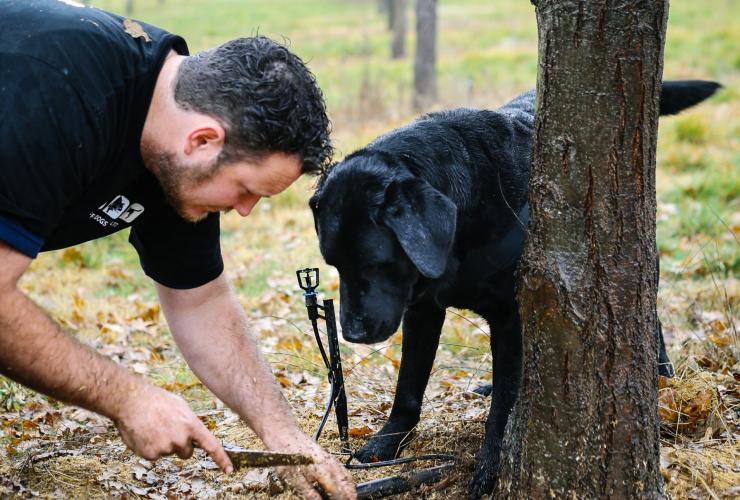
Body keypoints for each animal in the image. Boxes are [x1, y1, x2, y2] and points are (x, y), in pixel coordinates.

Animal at [310, 80, 720, 498]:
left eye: (374, 263)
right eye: (335, 264)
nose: (352, 333)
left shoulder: (513, 319)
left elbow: (502, 410)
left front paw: (490, 469)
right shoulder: (422, 310)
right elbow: (409, 385)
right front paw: (386, 442)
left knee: (650, 320)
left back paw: (663, 375)